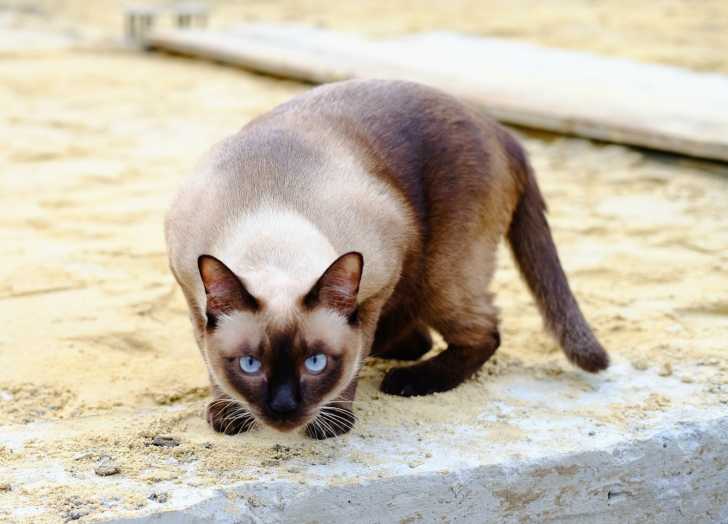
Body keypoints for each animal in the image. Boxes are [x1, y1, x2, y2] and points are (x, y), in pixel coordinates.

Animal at [165, 79, 609, 439]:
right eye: (250, 364)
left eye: (315, 362)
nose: (284, 409)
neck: (271, 222)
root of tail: (500, 128)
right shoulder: (191, 294)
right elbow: (210, 361)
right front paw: (227, 413)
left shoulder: (377, 284)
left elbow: (353, 362)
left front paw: (334, 421)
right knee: (420, 338)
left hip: (439, 276)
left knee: (482, 332)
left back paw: (410, 381)